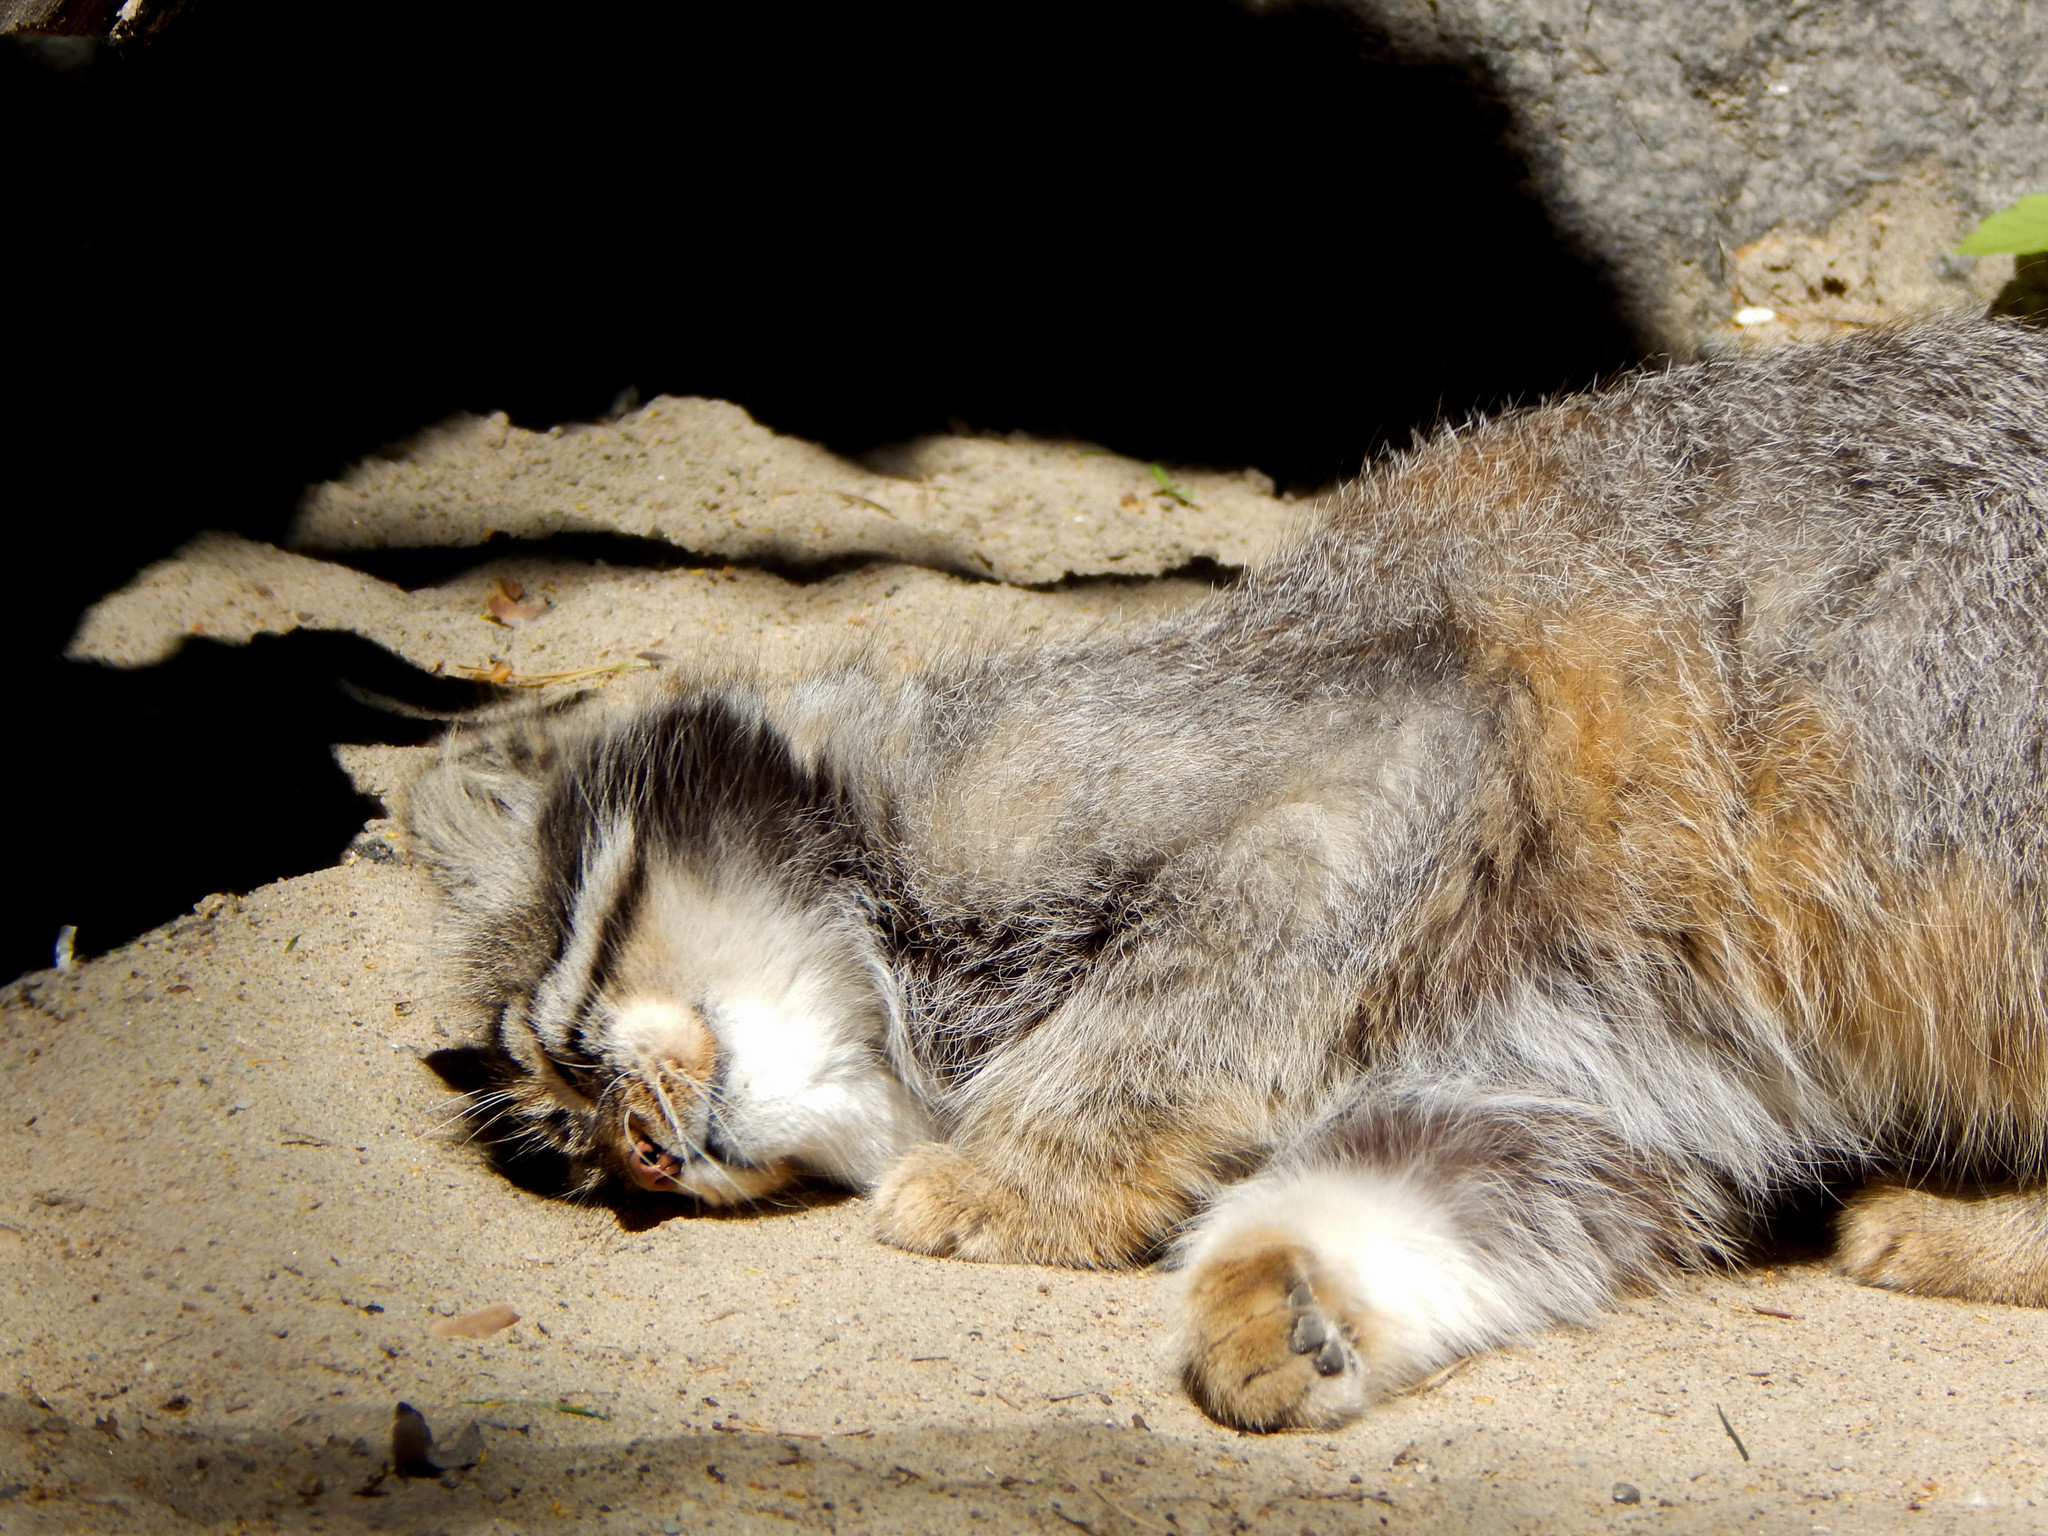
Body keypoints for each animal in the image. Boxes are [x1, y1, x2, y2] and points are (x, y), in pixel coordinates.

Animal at [407, 319, 2048, 1441]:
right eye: (565, 1150)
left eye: (570, 1035)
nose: (634, 1156)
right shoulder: (1587, 1084)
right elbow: (1404, 1186)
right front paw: (1289, 1297)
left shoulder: (1387, 766)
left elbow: (1157, 1012)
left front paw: (1015, 1173)